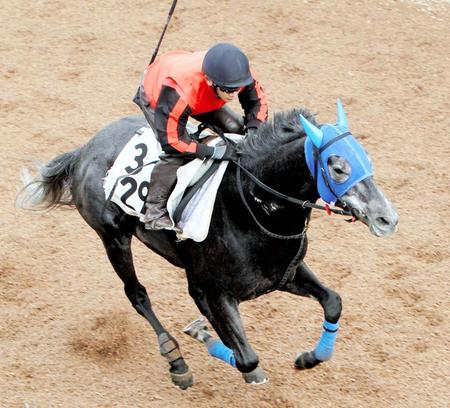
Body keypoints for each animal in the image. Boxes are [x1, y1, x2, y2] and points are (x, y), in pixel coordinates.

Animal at [17, 99, 398, 388]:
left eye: (366, 158)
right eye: (338, 167)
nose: (387, 218)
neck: (250, 205)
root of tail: (84, 150)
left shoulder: (283, 274)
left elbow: (333, 302)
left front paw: (309, 357)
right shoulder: (215, 291)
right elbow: (247, 359)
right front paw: (202, 336)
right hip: (113, 238)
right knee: (137, 294)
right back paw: (176, 361)